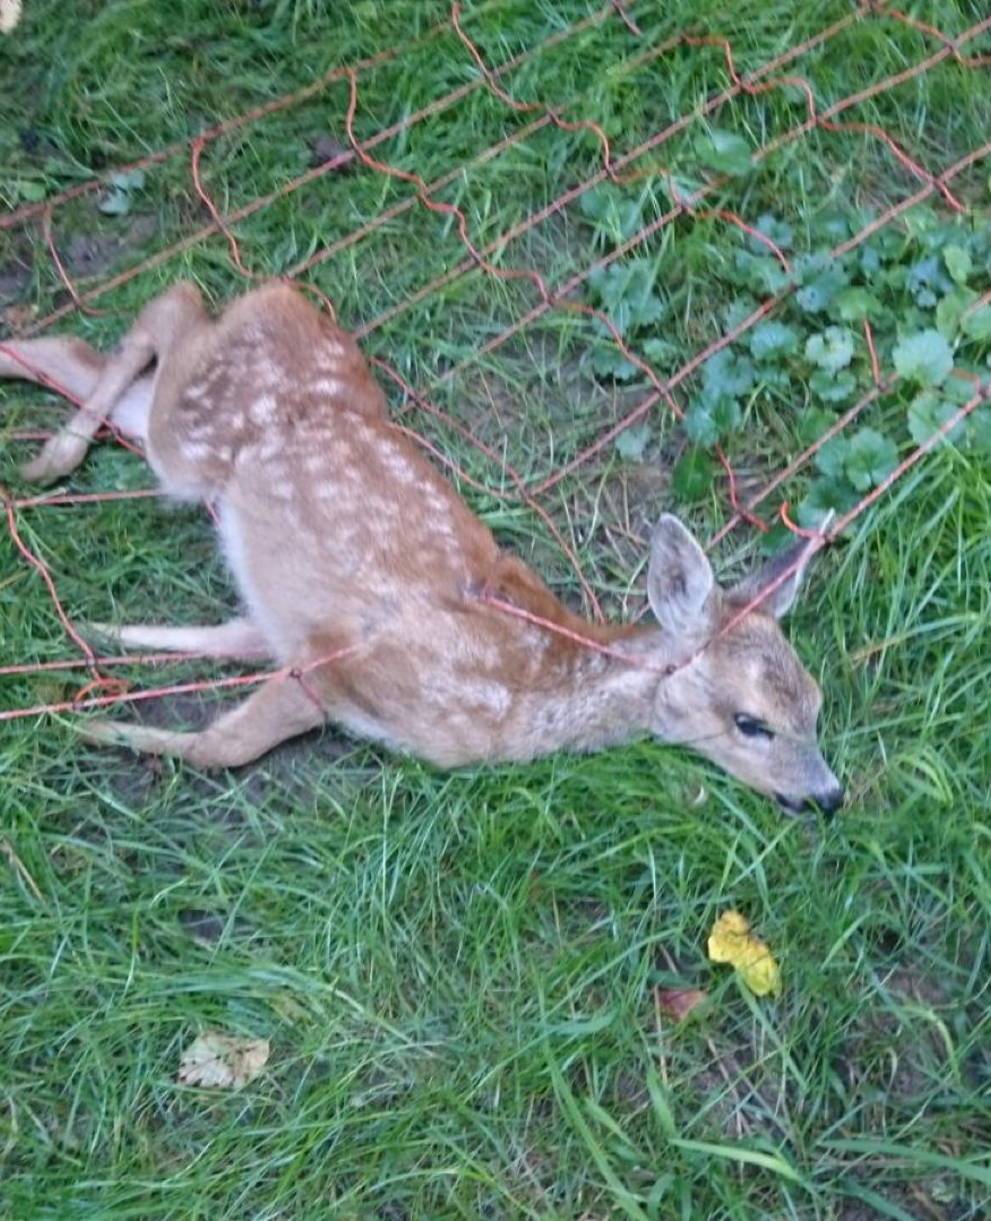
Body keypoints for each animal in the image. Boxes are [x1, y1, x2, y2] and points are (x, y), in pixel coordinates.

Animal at [1, 280, 844, 815]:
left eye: (815, 705)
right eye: (750, 721)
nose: (828, 796)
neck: (523, 693)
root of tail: (287, 299)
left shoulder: (294, 640)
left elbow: (221, 648)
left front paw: (94, 649)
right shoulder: (337, 662)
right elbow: (225, 746)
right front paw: (88, 728)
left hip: (176, 440)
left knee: (74, 349)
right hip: (184, 439)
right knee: (172, 300)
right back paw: (50, 459)